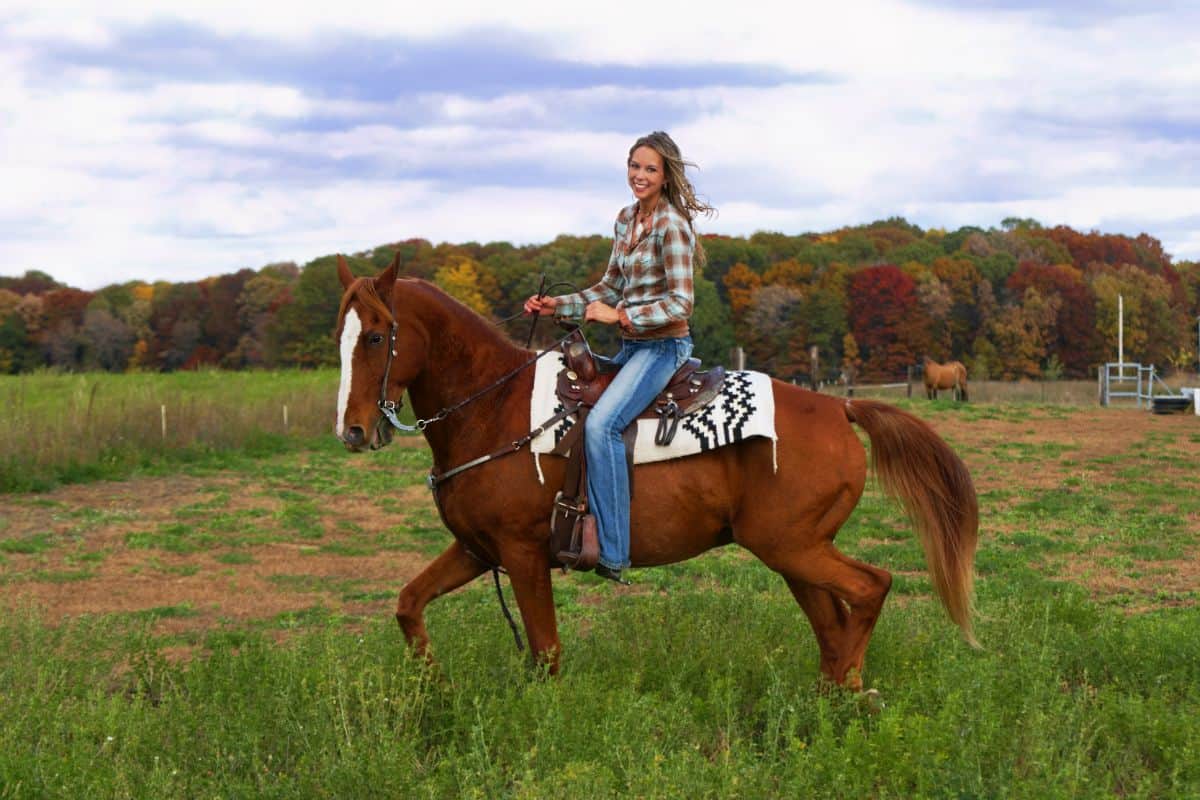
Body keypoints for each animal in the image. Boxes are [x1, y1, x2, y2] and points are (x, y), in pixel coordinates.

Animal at [333, 255, 979, 690]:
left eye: (376, 336)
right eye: (339, 337)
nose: (354, 431)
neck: (493, 409)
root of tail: (838, 407)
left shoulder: (521, 554)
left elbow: (545, 653)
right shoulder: (475, 548)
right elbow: (408, 604)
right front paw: (431, 687)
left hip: (792, 546)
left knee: (871, 587)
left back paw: (849, 690)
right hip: (796, 551)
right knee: (832, 621)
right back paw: (835, 698)